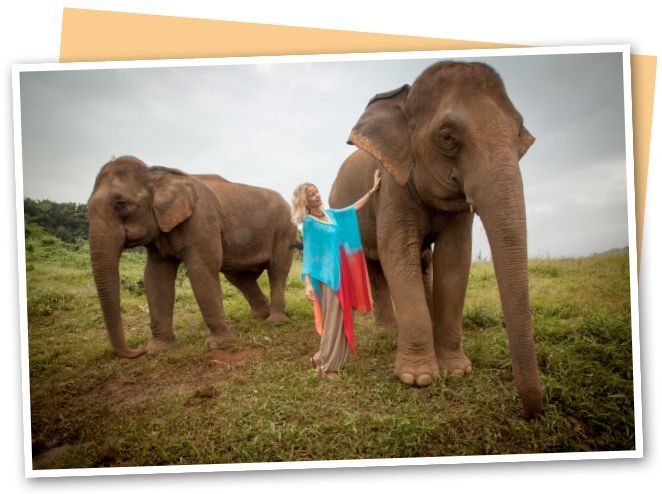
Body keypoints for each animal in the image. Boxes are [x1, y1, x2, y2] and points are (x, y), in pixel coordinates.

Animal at [87, 156, 297, 358]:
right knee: (239, 277)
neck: (154, 173)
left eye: (121, 204)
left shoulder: (202, 221)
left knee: (277, 269)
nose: (138, 350)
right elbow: (155, 278)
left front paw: (217, 344)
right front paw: (158, 349)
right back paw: (259, 317)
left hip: (285, 229)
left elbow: (200, 270)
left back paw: (274, 321)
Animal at [329, 61, 543, 418]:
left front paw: (456, 371)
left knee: (420, 260)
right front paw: (418, 379)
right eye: (446, 136)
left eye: (518, 136)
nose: (532, 414)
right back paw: (387, 335)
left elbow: (454, 258)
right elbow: (396, 252)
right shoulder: (392, 186)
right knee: (377, 265)